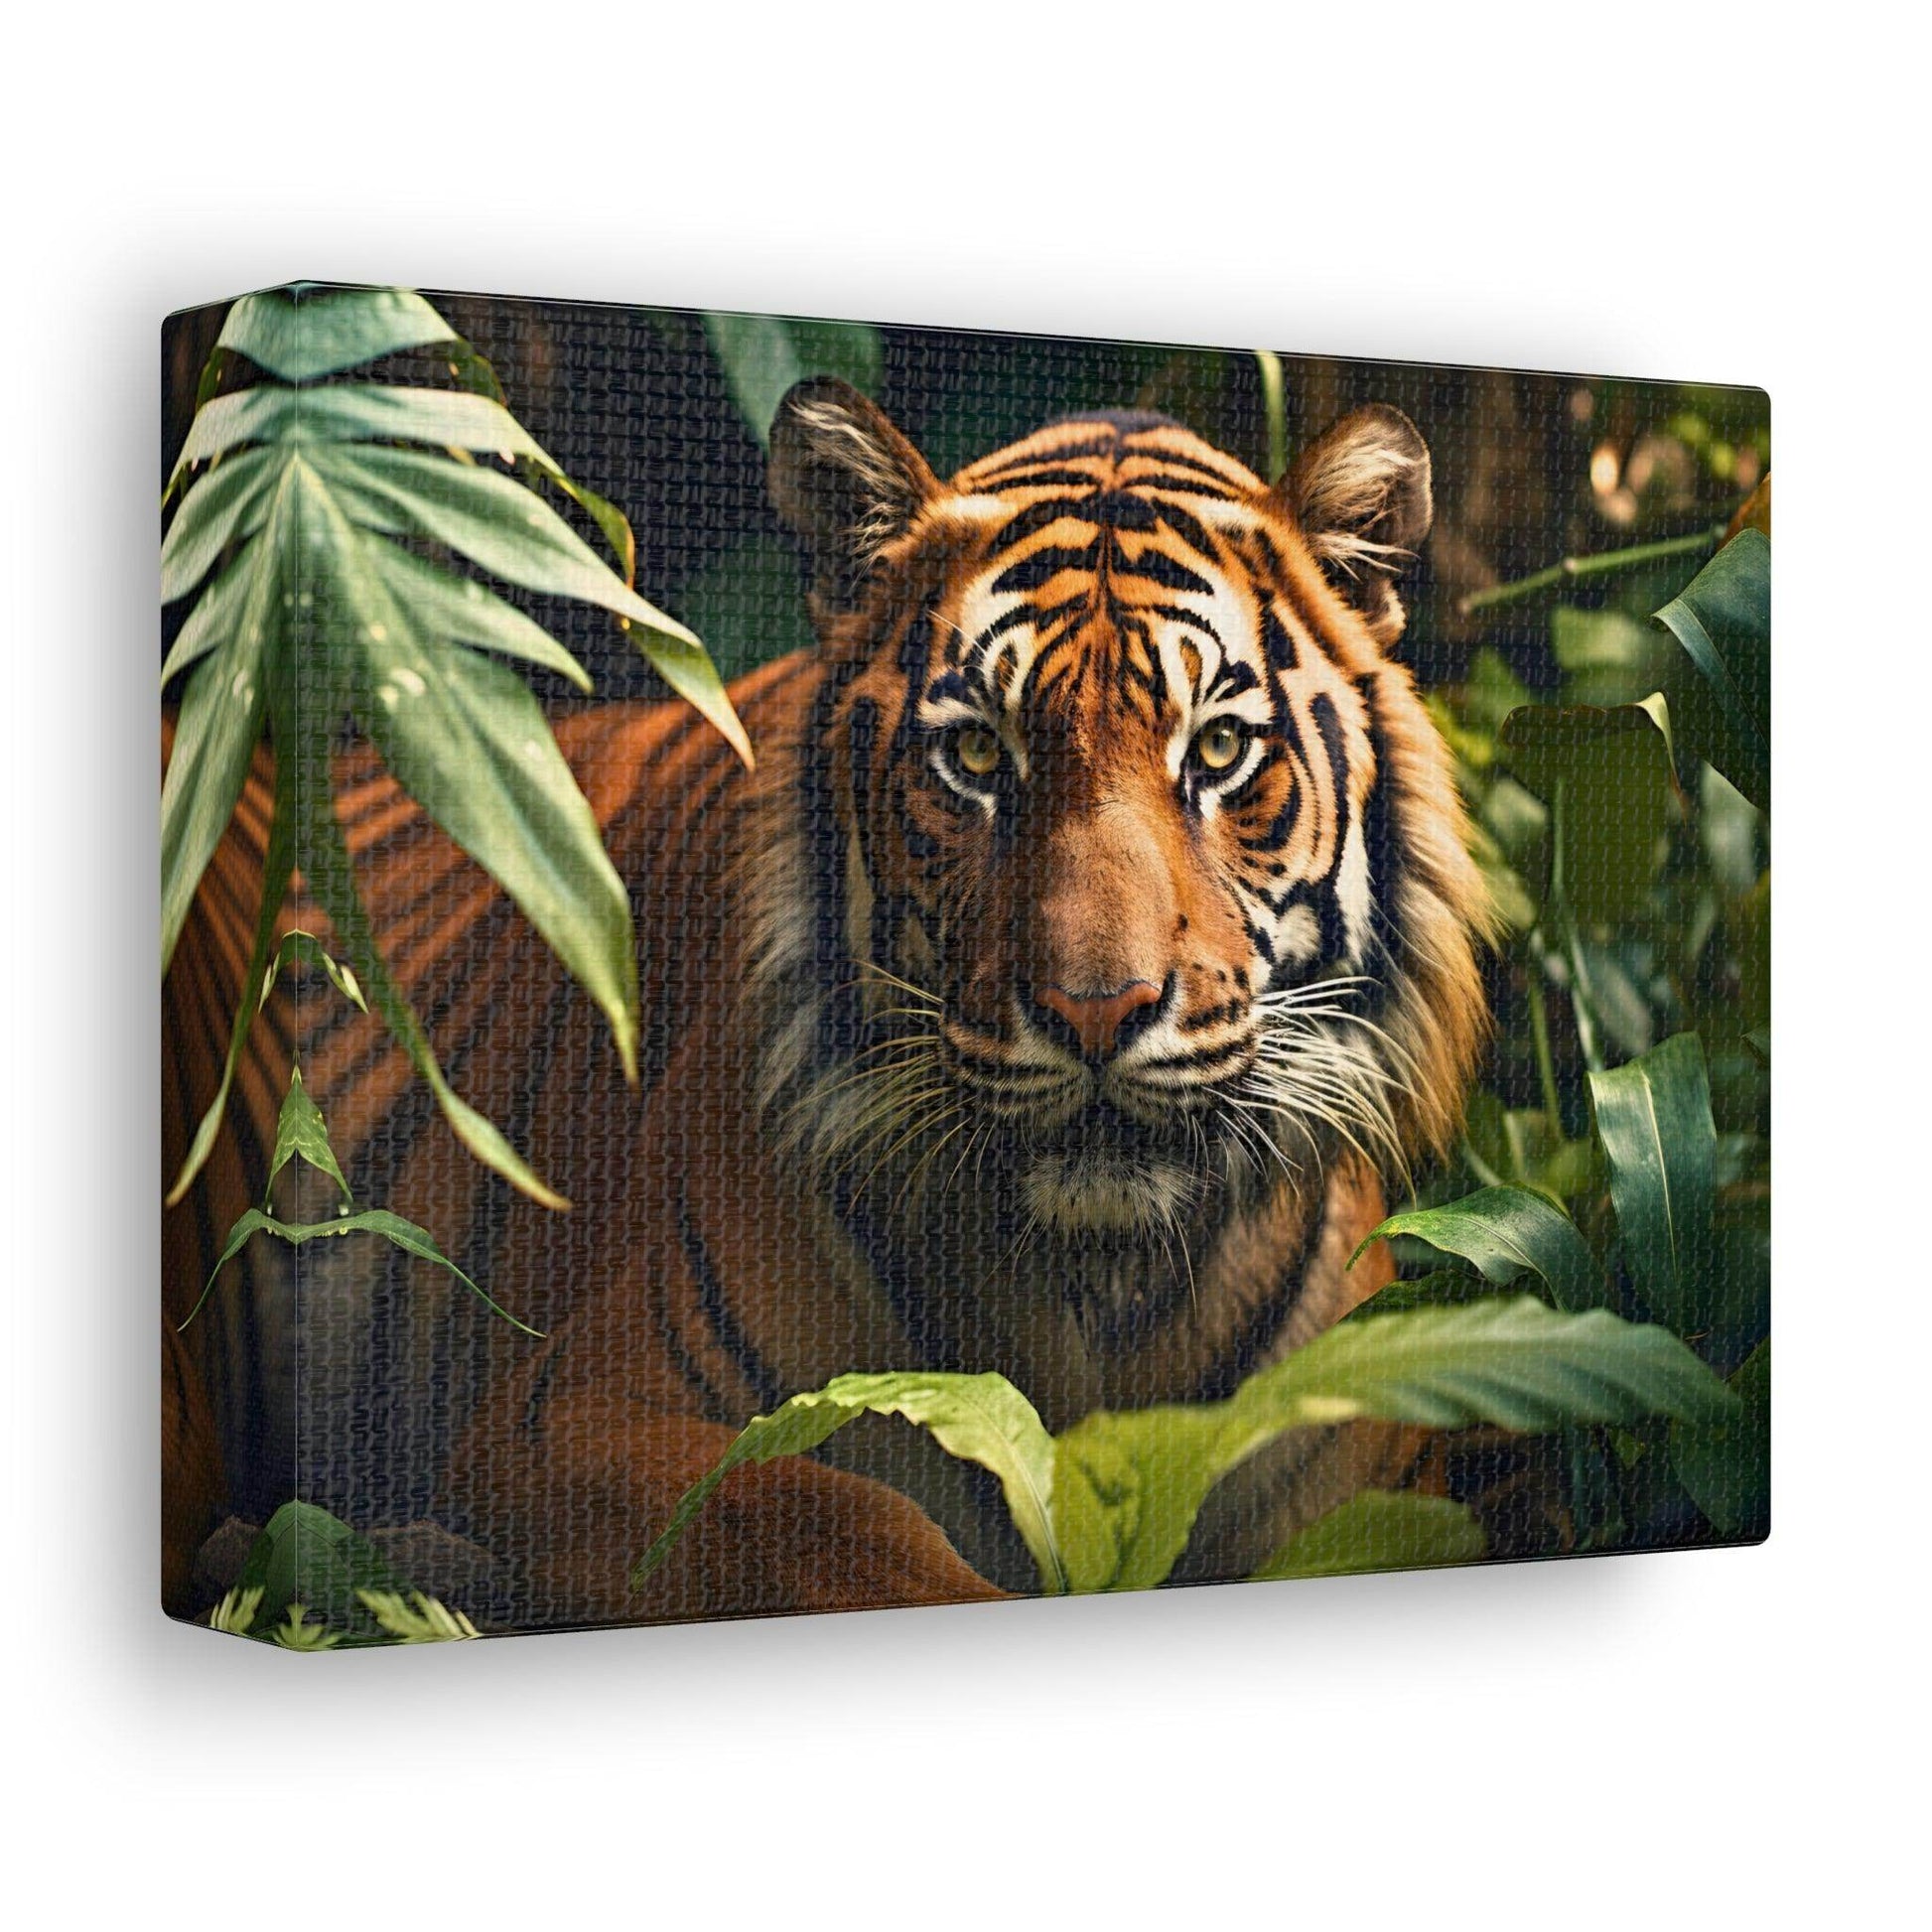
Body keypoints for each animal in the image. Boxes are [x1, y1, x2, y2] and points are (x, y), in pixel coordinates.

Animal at [161, 381, 1494, 1626]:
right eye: (977, 757)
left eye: (1216, 750)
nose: (1095, 1009)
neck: (1096, 1293)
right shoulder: (567, 1417)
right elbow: (818, 1513)